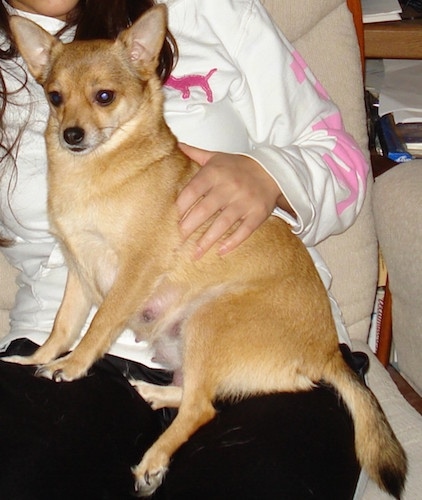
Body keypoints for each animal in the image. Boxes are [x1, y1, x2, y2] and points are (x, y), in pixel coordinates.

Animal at [9, 5, 406, 498]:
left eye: (104, 96)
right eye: (55, 97)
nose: (71, 135)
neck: (99, 171)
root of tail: (327, 354)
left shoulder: (131, 274)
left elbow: (97, 328)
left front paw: (73, 366)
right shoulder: (80, 274)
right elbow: (63, 327)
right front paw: (37, 358)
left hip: (209, 319)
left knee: (202, 409)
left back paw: (153, 459)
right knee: (198, 394)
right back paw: (153, 394)